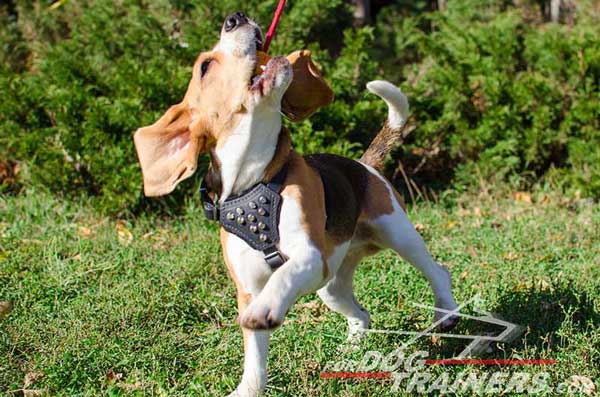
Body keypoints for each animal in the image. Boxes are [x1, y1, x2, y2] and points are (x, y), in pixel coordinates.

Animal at [132, 10, 460, 394]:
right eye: (206, 66)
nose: (235, 17)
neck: (254, 178)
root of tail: (363, 164)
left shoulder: (308, 256)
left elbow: (283, 277)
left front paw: (267, 309)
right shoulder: (249, 288)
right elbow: (254, 359)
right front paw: (249, 387)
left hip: (397, 233)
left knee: (438, 271)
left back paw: (446, 312)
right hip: (331, 285)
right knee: (361, 314)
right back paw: (352, 348)